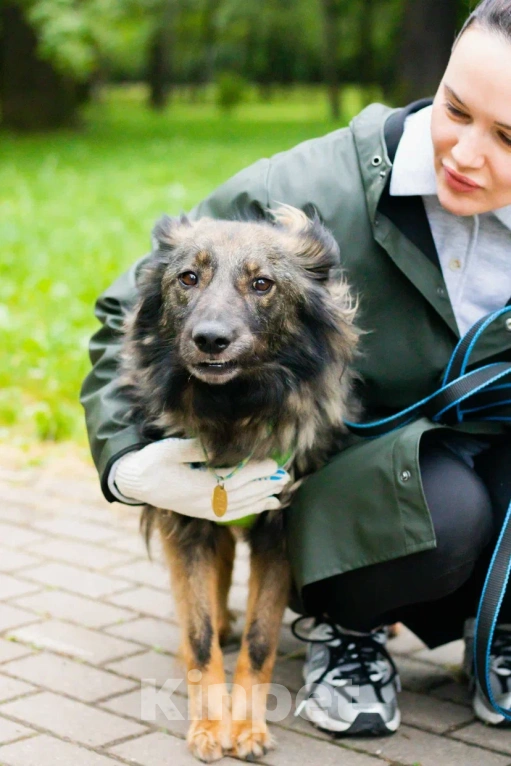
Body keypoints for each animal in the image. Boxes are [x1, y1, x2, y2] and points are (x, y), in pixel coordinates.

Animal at [120, 207, 360, 764]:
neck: (233, 409)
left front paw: (247, 726)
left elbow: (261, 638)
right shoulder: (186, 522)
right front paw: (210, 724)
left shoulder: (281, 533)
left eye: (262, 283)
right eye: (189, 278)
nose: (210, 339)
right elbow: (200, 634)